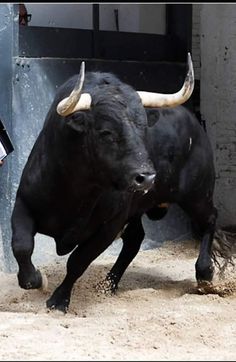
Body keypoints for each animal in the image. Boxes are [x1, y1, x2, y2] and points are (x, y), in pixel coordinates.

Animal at [11, 62, 232, 312]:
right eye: (106, 132)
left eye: (143, 129)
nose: (147, 178)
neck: (74, 191)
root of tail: (195, 122)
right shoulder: (23, 203)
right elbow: (22, 246)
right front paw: (36, 280)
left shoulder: (109, 225)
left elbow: (78, 261)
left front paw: (59, 301)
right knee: (135, 240)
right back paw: (107, 286)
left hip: (197, 194)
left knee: (209, 220)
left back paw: (204, 274)